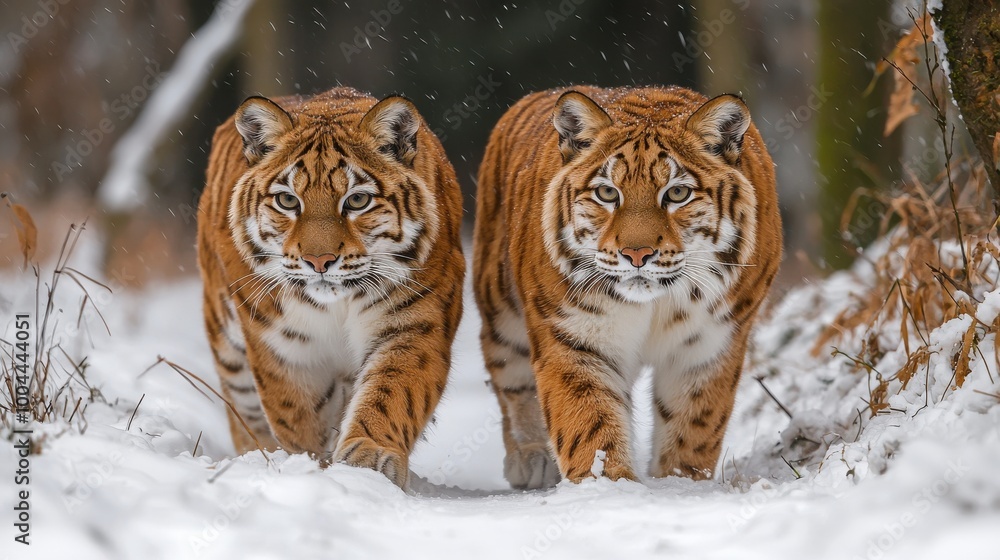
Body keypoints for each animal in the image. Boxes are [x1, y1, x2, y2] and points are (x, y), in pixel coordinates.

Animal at [196, 87, 465, 488]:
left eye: (357, 200)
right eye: (287, 200)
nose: (319, 260)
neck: (337, 304)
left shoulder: (413, 326)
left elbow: (391, 392)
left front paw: (369, 458)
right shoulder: (284, 348)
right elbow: (296, 420)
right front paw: (310, 468)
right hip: (229, 352)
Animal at [473, 86, 781, 489]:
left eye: (677, 194)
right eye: (607, 193)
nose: (636, 254)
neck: (658, 304)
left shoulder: (708, 346)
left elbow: (694, 427)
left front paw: (681, 485)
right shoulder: (574, 339)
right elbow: (589, 423)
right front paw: (608, 486)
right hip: (500, 313)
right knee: (511, 382)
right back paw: (530, 458)